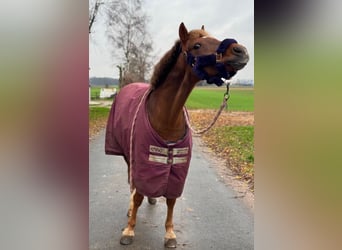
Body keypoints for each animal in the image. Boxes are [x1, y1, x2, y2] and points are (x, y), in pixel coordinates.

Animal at [105, 22, 248, 248]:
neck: (167, 117)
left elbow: (171, 199)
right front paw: (129, 230)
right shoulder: (142, 161)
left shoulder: (176, 168)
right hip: (128, 156)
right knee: (132, 184)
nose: (240, 50)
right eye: (197, 45)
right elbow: (137, 197)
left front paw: (170, 234)